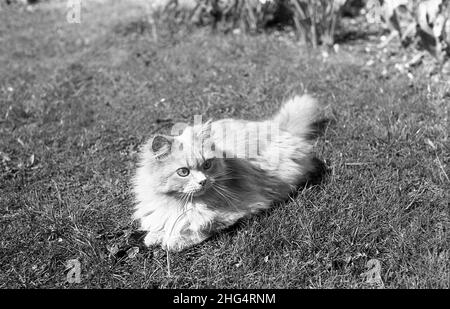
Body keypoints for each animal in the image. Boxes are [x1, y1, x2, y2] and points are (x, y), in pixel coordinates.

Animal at [132, 95, 322, 251]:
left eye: (207, 165)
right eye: (183, 172)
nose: (203, 181)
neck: (180, 203)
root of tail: (276, 127)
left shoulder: (239, 209)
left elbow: (199, 228)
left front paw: (173, 241)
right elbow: (161, 223)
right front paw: (155, 236)